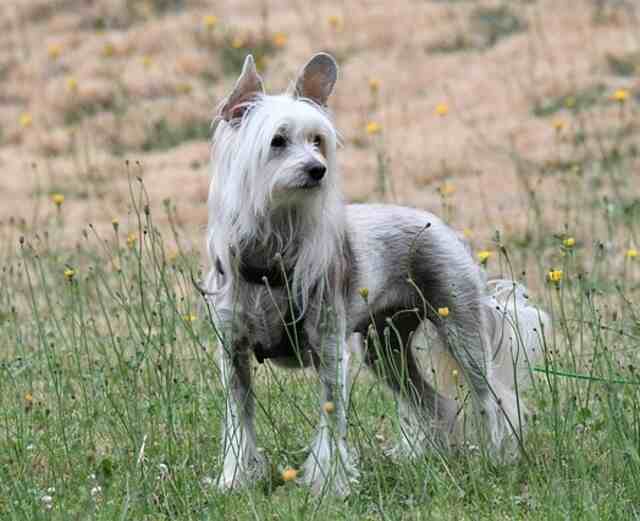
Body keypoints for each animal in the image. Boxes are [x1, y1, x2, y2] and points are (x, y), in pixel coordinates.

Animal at [206, 52, 552, 496]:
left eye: (317, 140)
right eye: (277, 141)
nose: (317, 169)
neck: (273, 249)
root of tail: (442, 227)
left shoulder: (330, 350)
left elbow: (331, 419)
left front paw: (330, 485)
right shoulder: (233, 353)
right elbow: (239, 421)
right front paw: (234, 480)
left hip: (461, 331)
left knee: (492, 398)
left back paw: (497, 459)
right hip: (385, 347)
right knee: (434, 403)